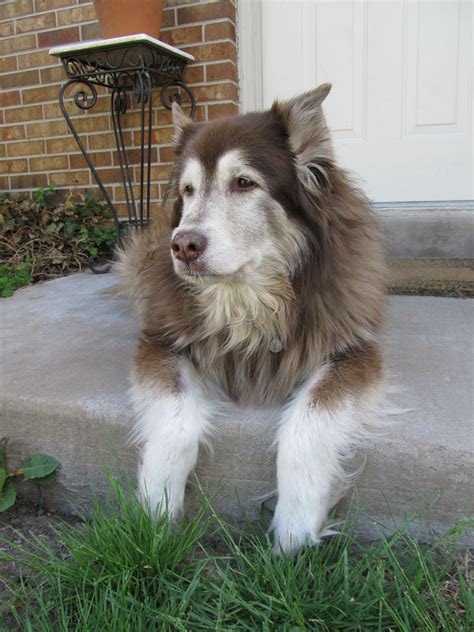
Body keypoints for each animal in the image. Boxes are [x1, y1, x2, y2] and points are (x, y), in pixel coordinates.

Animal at [116, 82, 386, 552]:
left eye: (243, 182)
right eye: (188, 190)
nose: (182, 245)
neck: (245, 300)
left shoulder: (354, 350)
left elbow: (309, 422)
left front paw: (294, 529)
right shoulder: (160, 341)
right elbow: (175, 420)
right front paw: (155, 515)